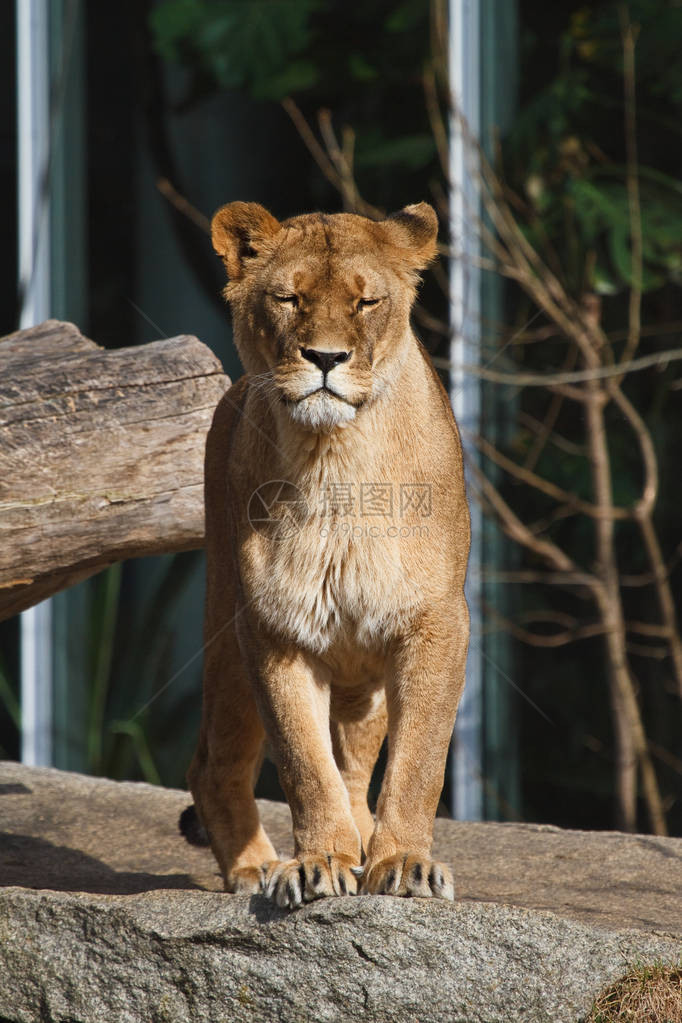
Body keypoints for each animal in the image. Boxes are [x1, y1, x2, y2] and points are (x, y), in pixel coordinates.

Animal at [184, 201, 472, 912]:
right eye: (289, 299)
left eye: (367, 301)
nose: (324, 357)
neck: (334, 458)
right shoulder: (273, 630)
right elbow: (304, 764)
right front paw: (317, 864)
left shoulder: (434, 623)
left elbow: (417, 760)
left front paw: (401, 861)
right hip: (227, 633)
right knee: (215, 765)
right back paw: (255, 867)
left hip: (365, 680)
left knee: (358, 761)